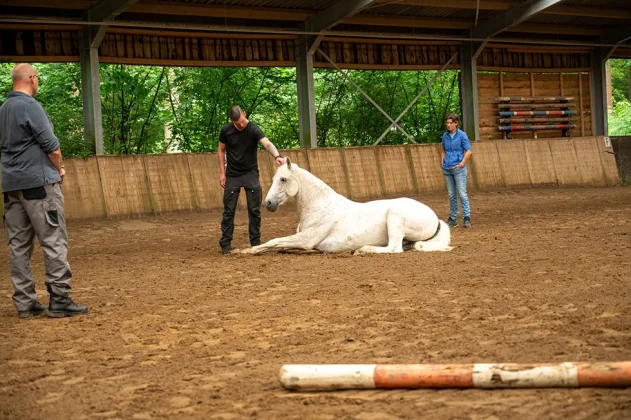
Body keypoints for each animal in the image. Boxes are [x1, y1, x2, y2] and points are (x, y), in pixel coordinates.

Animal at [247, 159, 454, 254]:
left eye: (283, 179)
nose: (268, 203)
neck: (321, 207)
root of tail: (436, 219)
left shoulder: (305, 239)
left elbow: (274, 241)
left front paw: (248, 251)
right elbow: (279, 244)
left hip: (394, 218)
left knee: (394, 248)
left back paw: (363, 249)